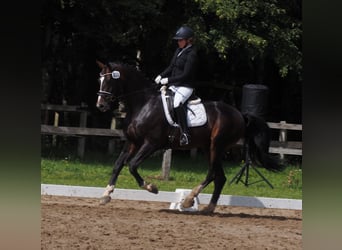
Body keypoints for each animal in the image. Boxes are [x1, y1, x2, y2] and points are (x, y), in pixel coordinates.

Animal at [96, 60, 284, 213]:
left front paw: (152, 187)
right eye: (100, 80)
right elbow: (118, 165)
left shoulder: (151, 144)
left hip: (217, 146)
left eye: (110, 80)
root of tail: (240, 114)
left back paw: (188, 199)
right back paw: (208, 208)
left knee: (212, 174)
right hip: (208, 147)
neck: (143, 104)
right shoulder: (132, 142)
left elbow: (132, 165)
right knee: (220, 177)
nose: (101, 105)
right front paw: (106, 194)